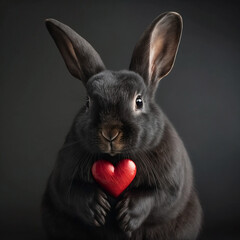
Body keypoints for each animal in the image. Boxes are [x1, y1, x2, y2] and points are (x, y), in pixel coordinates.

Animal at [41, 11, 202, 240]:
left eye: (139, 101)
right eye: (88, 103)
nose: (110, 132)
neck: (116, 158)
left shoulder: (172, 183)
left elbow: (157, 196)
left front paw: (127, 215)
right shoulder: (62, 179)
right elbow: (72, 191)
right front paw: (97, 208)